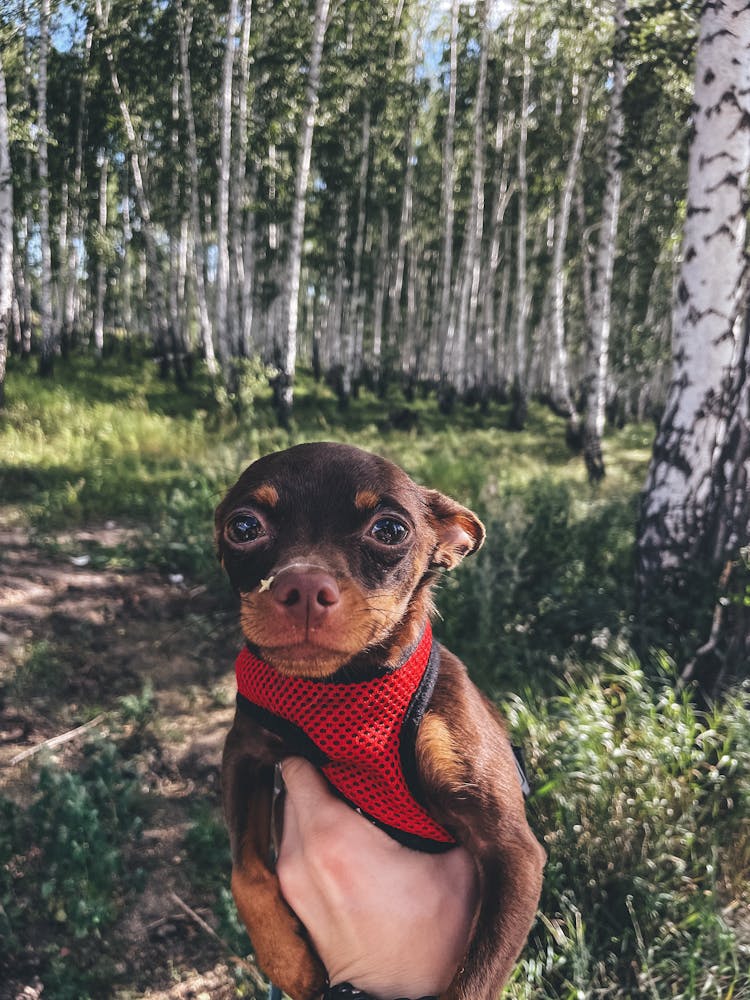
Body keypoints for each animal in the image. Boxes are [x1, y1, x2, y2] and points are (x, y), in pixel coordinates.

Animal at [217, 446, 548, 1000]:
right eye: (242, 526)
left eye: (390, 530)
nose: (302, 583)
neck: (345, 686)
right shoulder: (245, 751)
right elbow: (245, 868)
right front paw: (288, 960)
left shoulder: (512, 850)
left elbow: (472, 983)